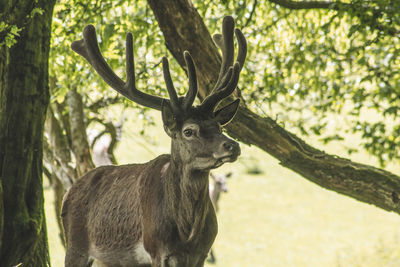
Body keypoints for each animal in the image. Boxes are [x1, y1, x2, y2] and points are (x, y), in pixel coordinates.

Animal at [61, 15, 245, 267]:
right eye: (189, 131)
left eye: (219, 126)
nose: (232, 145)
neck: (187, 234)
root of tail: (68, 192)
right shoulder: (158, 250)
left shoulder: (201, 253)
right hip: (75, 244)